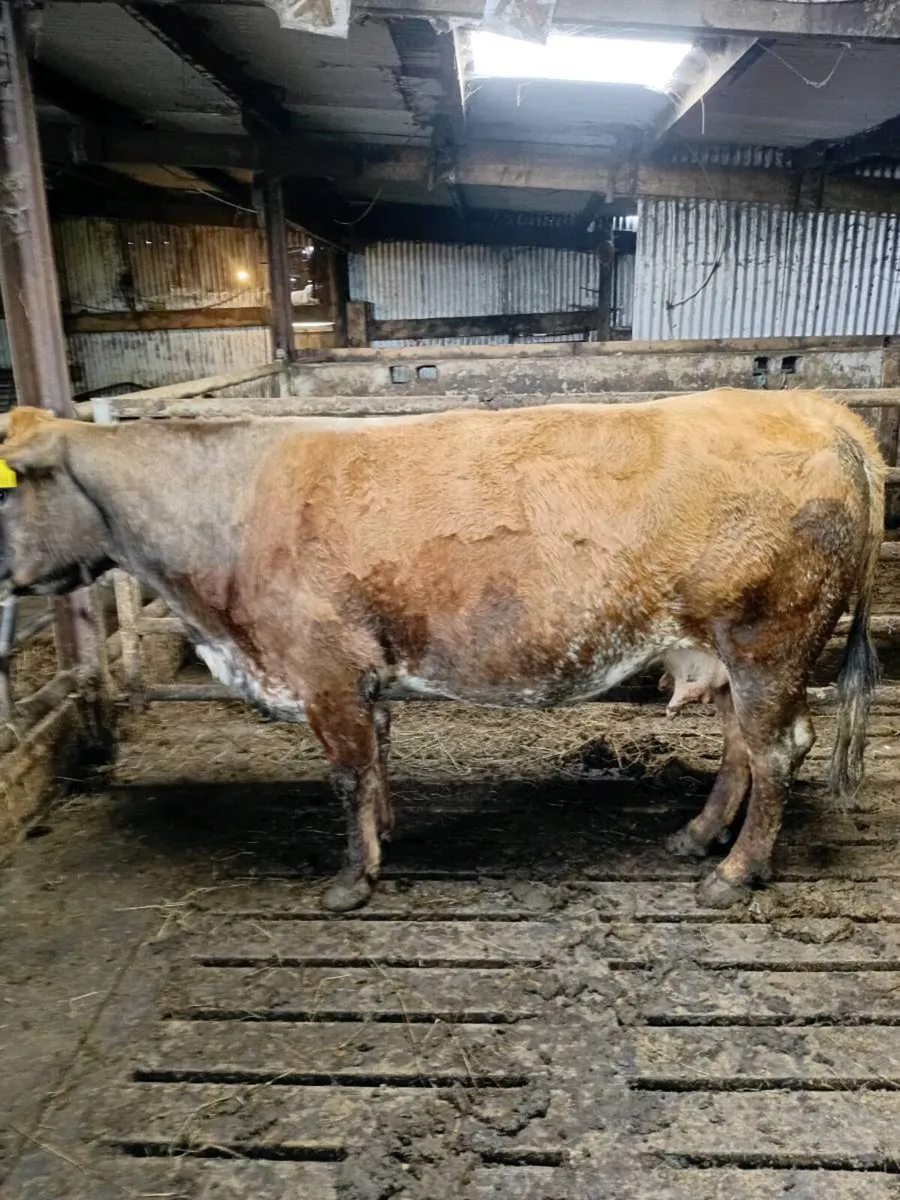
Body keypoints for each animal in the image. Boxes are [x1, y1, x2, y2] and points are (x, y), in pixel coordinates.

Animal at [0, 390, 884, 912]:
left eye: (6, 484)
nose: (6, 581)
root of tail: (817, 409)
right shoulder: (362, 675)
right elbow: (378, 758)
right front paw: (388, 834)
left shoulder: (323, 669)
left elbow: (347, 773)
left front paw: (351, 881)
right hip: (734, 657)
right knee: (742, 749)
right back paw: (698, 836)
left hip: (770, 642)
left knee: (776, 751)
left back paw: (732, 873)